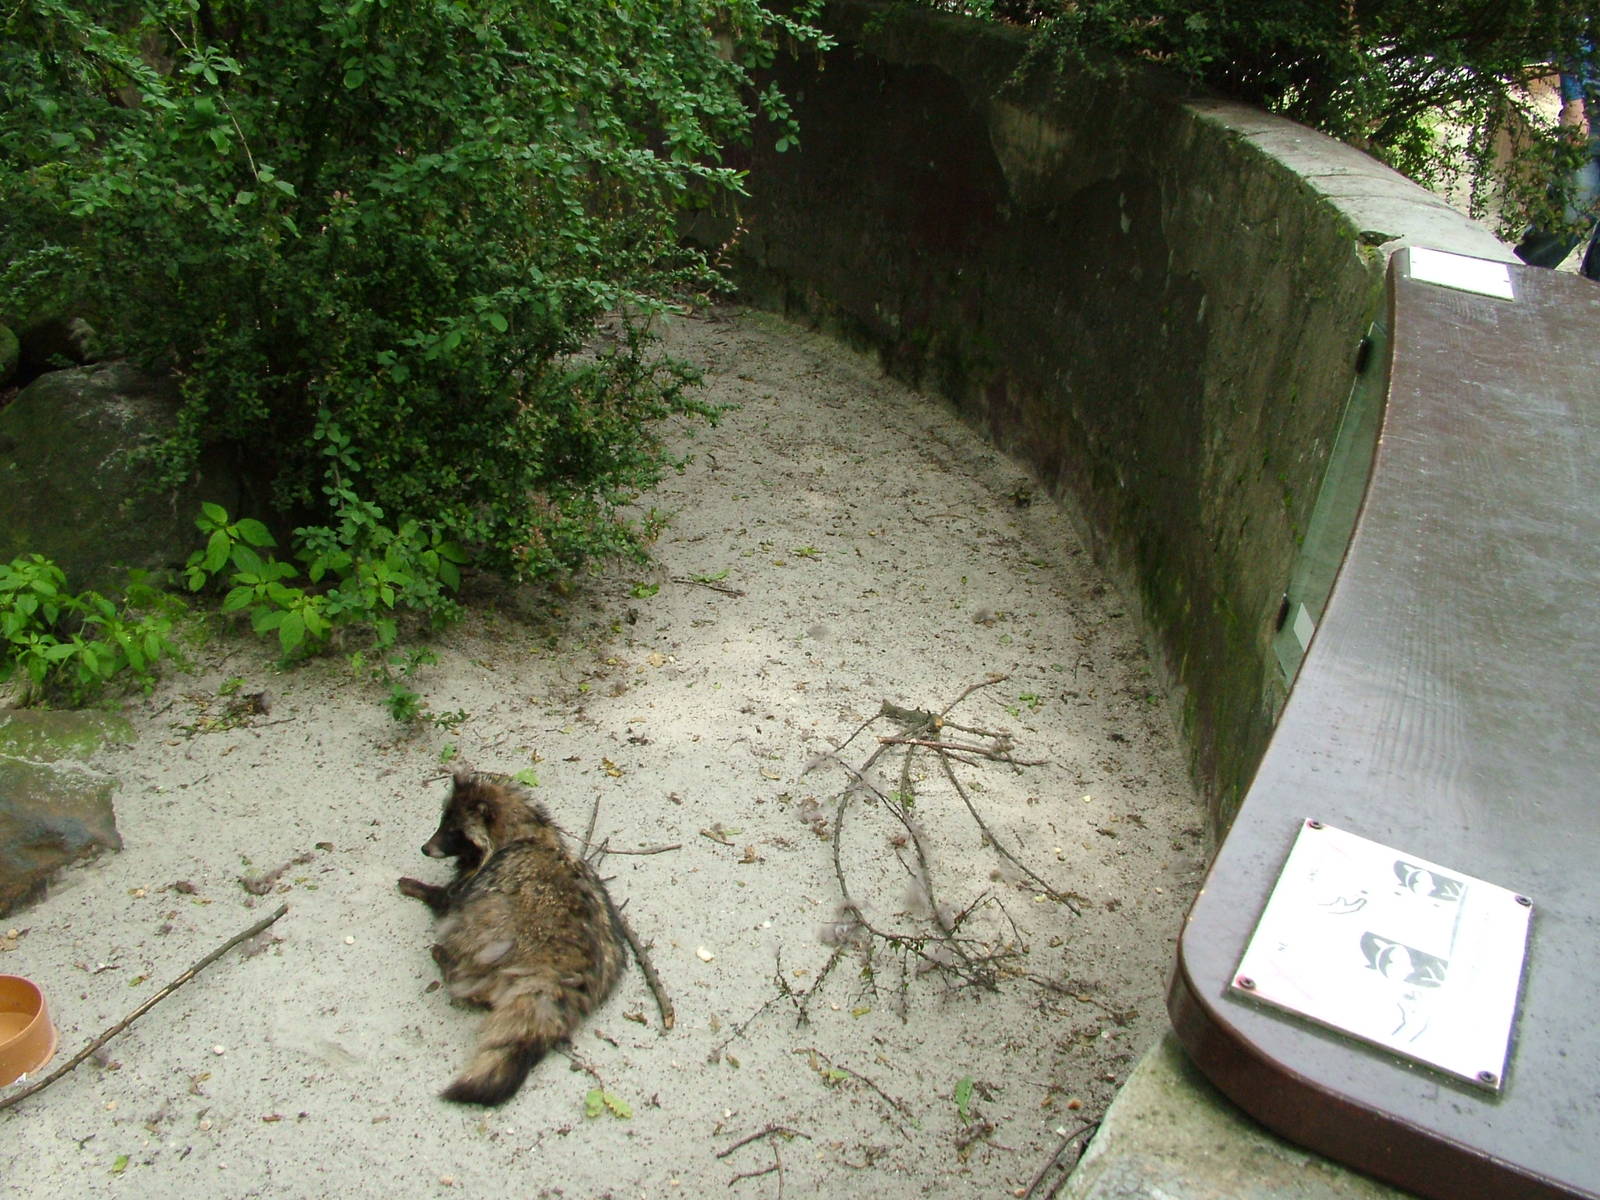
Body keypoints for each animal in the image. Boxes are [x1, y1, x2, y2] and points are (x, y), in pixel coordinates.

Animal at [398, 771, 625, 1105]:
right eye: (443, 823)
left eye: (453, 831)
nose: (426, 849)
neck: (526, 832)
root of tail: (559, 974)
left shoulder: (479, 880)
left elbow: (448, 899)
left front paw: (421, 887)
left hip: (493, 933)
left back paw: (447, 962)